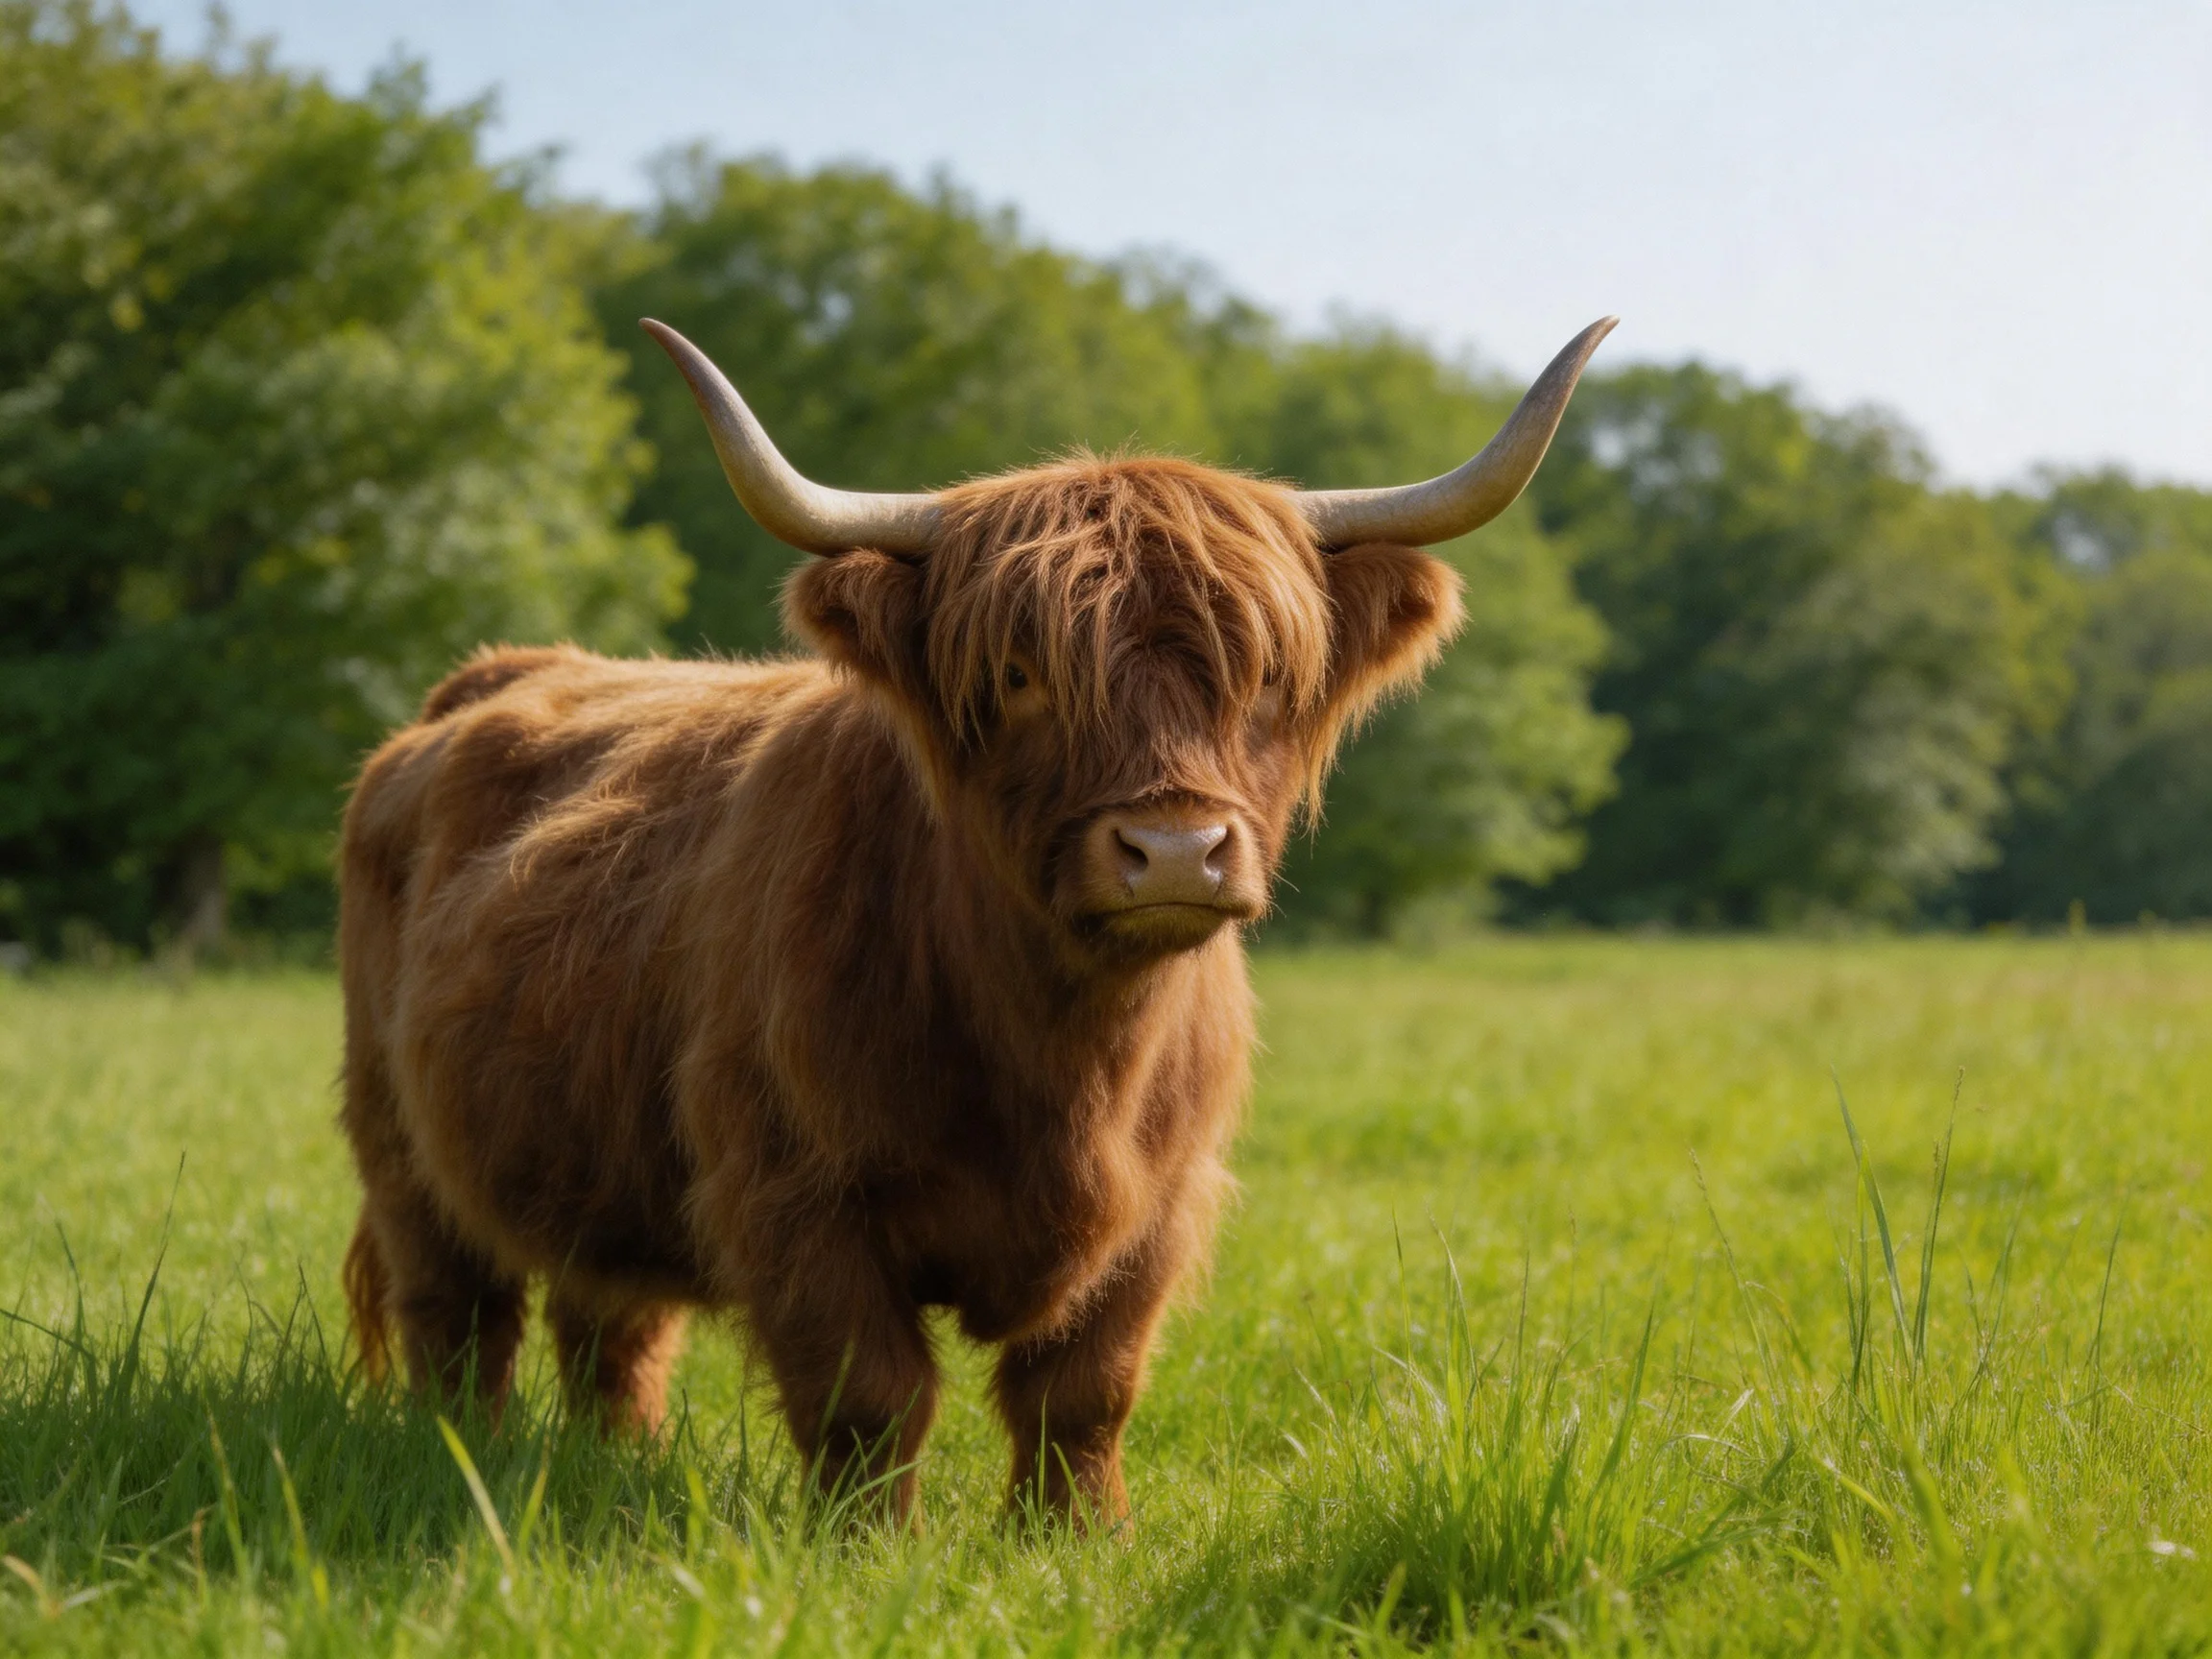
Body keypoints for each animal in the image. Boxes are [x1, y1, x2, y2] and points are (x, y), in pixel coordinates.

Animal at [338, 313, 1615, 1527]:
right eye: (1018, 676)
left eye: (1260, 678)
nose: (1175, 851)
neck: (1061, 1058)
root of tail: (487, 680)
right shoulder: (793, 1191)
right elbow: (869, 1394)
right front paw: (866, 1548)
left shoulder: (1162, 1206)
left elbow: (1085, 1391)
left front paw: (1077, 1538)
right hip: (396, 1135)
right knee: (457, 1316)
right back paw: (464, 1460)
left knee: (611, 1324)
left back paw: (618, 1460)